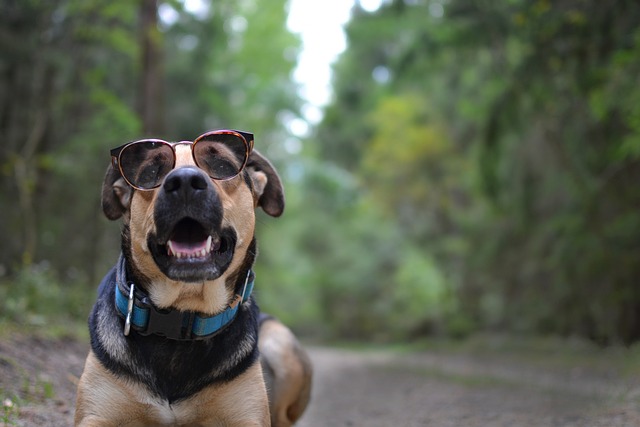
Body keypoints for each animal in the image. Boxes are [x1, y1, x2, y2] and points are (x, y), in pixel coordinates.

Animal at [75, 131, 312, 427]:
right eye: (151, 171)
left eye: (222, 165)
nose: (185, 182)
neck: (182, 316)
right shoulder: (96, 414)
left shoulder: (248, 416)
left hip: (281, 346)